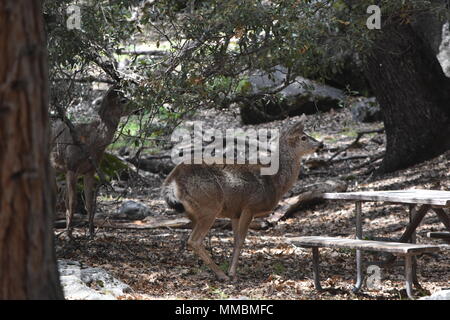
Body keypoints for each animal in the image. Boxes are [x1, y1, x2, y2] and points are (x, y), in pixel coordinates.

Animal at [161, 116, 320, 282]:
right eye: (303, 137)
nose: (320, 144)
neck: (274, 182)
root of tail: (173, 180)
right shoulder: (250, 206)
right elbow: (241, 240)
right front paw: (232, 273)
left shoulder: (234, 212)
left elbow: (235, 239)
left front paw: (232, 269)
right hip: (209, 204)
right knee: (194, 240)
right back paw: (221, 275)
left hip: (194, 211)